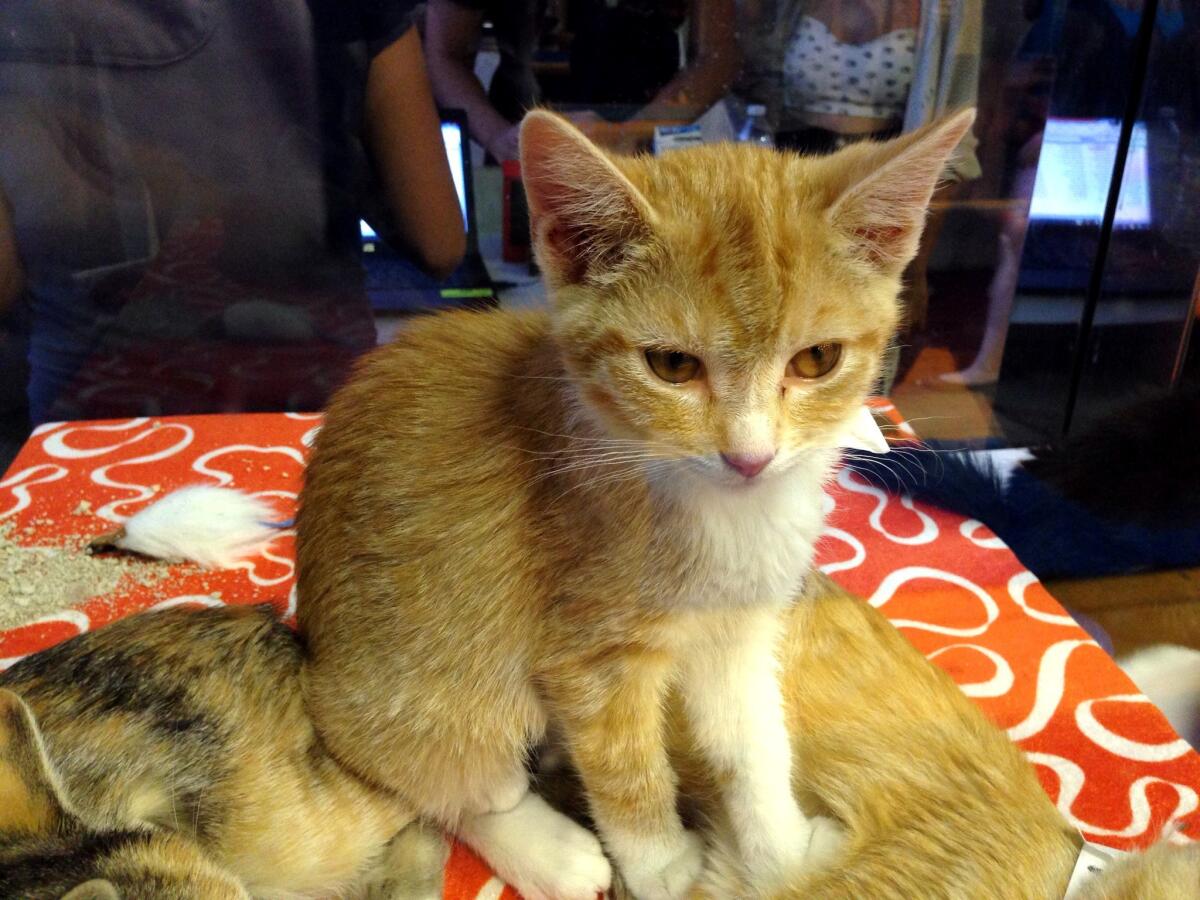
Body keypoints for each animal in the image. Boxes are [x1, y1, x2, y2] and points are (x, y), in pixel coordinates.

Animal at [297, 107, 974, 900]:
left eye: (817, 360)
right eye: (672, 366)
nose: (750, 457)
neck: (726, 513)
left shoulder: (740, 630)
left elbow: (755, 745)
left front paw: (782, 854)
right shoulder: (589, 654)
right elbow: (626, 771)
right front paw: (669, 869)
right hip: (427, 683)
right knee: (444, 779)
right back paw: (552, 851)